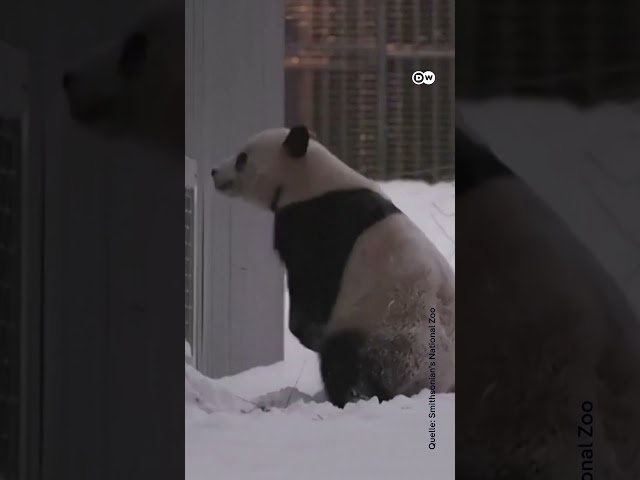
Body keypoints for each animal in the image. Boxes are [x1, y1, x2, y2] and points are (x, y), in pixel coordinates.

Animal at [210, 125, 456, 406]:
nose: (214, 172)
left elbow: (313, 285)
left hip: (391, 335)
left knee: (345, 361)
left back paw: (352, 395)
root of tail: (437, 383)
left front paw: (308, 334)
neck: (312, 180)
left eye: (242, 159)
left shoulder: (321, 225)